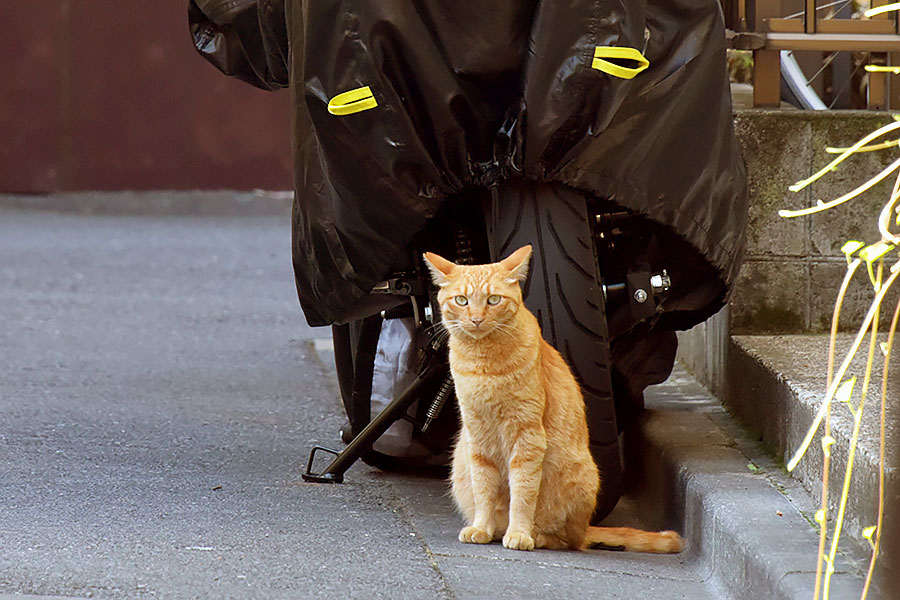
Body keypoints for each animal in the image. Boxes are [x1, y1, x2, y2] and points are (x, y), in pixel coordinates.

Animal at [422, 245, 684, 552]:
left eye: (493, 299)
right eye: (461, 301)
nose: (476, 319)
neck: (484, 362)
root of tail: (586, 527)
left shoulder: (528, 435)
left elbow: (523, 492)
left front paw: (519, 533)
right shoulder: (478, 437)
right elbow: (484, 489)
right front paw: (481, 527)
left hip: (578, 480)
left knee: (567, 540)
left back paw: (537, 535)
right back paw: (497, 530)